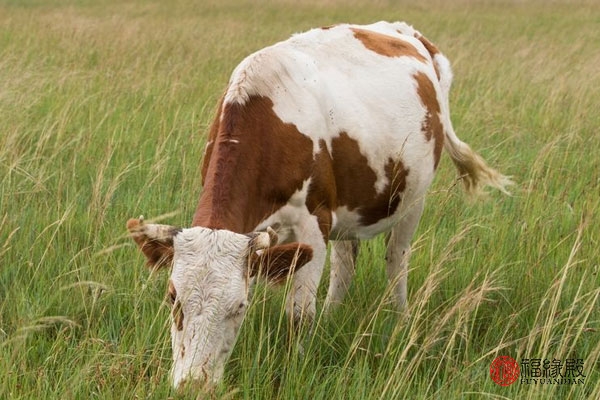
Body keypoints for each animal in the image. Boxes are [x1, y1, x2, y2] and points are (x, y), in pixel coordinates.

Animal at [126, 21, 511, 389]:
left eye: (239, 306)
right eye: (173, 298)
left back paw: (398, 320)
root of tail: (407, 31)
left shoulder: (313, 223)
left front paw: (295, 364)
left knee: (396, 260)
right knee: (346, 263)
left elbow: (299, 314)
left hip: (412, 199)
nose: (193, 384)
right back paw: (332, 316)